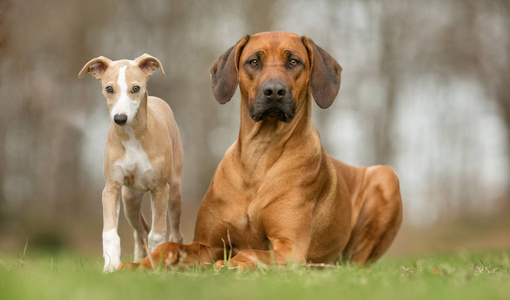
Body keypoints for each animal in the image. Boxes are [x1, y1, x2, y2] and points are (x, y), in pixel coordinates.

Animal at [78, 54, 184, 272]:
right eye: (109, 88)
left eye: (135, 88)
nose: (120, 118)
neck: (133, 136)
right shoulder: (111, 187)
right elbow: (110, 233)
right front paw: (111, 266)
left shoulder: (160, 189)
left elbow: (157, 234)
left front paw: (157, 265)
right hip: (130, 199)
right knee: (140, 231)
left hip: (175, 193)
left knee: (174, 233)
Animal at [119, 31, 402, 270]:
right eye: (254, 61)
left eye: (294, 61)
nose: (274, 91)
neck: (260, 153)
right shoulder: (208, 244)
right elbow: (168, 246)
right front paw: (136, 265)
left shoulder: (289, 247)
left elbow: (250, 251)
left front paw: (232, 264)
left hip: (386, 176)